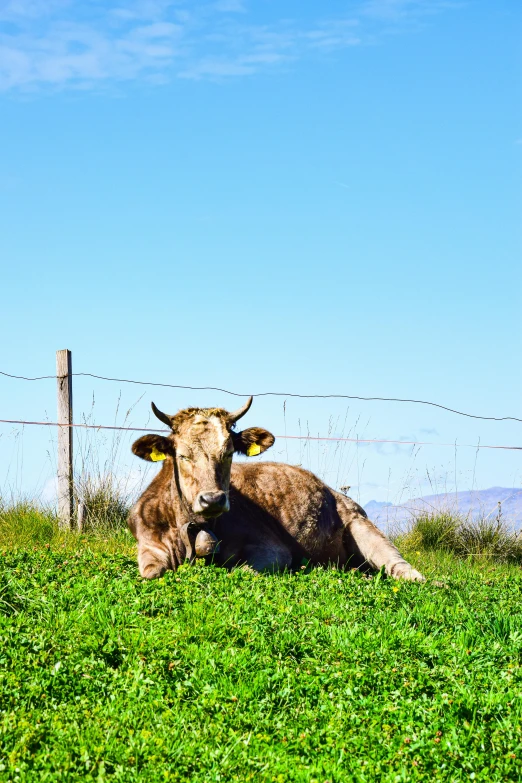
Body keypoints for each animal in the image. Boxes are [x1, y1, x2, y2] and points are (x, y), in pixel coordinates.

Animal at [128, 396, 424, 584]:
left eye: (228, 453)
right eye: (182, 456)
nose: (213, 499)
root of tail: (335, 492)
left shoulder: (273, 549)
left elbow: (240, 571)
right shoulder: (148, 544)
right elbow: (151, 573)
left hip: (362, 527)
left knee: (399, 567)